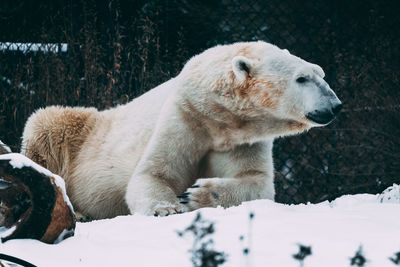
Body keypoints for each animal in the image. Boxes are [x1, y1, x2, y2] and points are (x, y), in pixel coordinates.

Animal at [21, 40, 340, 219]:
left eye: (321, 73)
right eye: (301, 78)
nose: (336, 105)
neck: (218, 117)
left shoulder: (241, 137)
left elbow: (257, 181)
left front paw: (196, 194)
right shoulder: (185, 116)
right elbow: (153, 172)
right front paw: (168, 207)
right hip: (80, 131)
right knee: (45, 126)